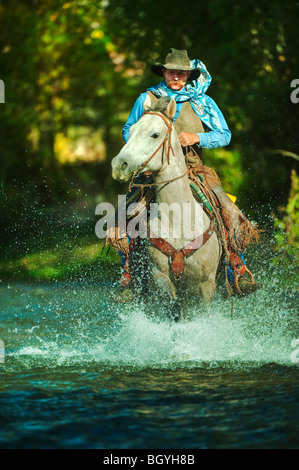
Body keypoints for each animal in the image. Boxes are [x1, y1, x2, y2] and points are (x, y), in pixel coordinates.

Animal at [112, 98, 223, 322]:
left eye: (155, 134)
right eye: (132, 130)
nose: (119, 165)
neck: (179, 220)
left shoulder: (207, 284)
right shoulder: (160, 275)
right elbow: (172, 310)